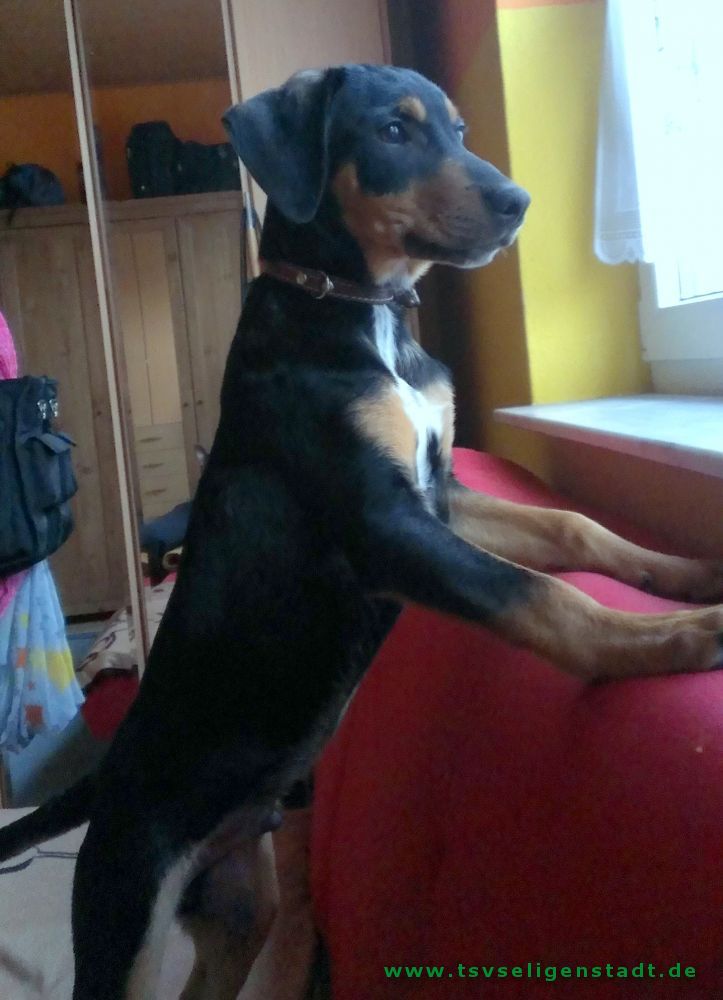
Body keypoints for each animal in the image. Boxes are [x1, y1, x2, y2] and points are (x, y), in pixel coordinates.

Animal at [0, 64, 721, 999]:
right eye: (392, 131)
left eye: (458, 129)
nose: (518, 203)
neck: (361, 311)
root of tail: (107, 776)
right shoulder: (381, 525)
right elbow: (541, 599)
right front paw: (681, 637)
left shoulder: (443, 493)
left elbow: (572, 530)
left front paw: (689, 573)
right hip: (125, 908)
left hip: (240, 902)